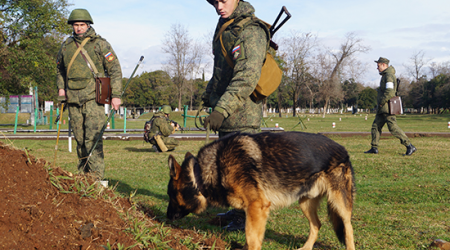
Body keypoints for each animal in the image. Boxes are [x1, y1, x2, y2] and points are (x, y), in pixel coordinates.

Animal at [166, 132, 356, 249]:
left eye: (170, 195)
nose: (166, 218)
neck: (203, 173)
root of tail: (342, 149)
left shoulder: (257, 207)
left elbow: (252, 239)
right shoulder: (253, 211)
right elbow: (250, 237)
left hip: (339, 203)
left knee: (348, 228)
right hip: (305, 202)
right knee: (317, 224)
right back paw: (306, 247)